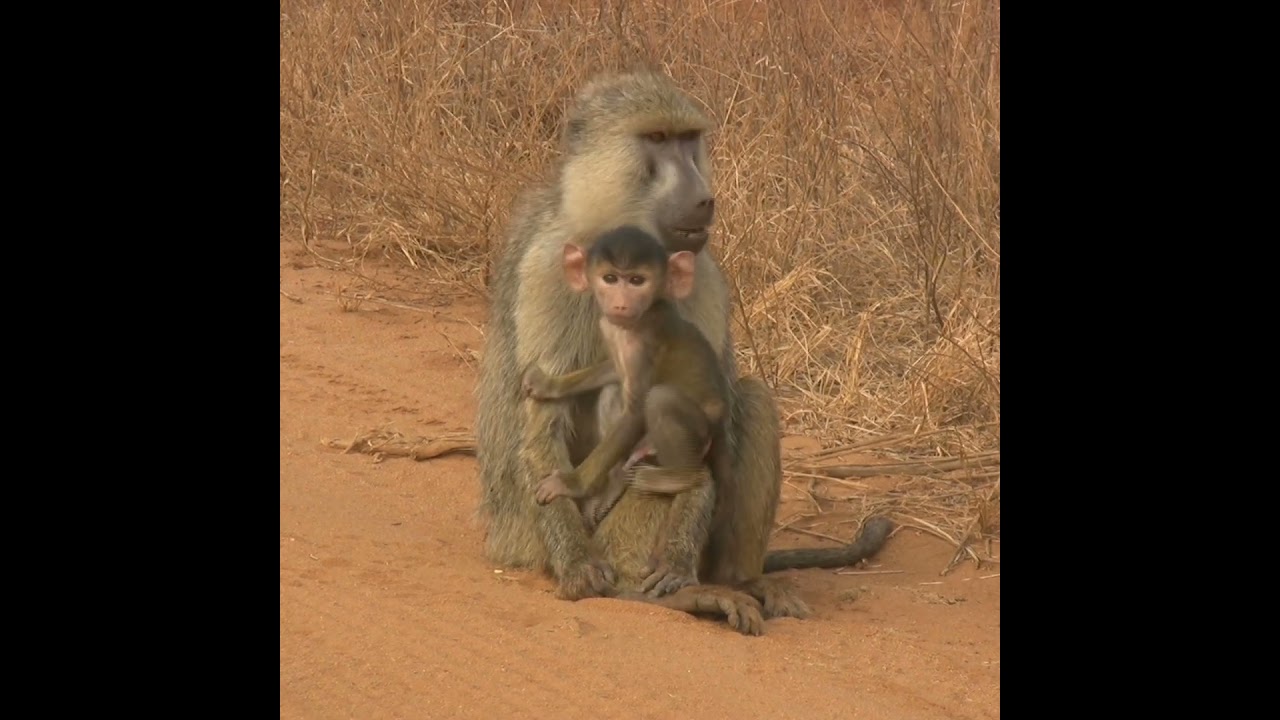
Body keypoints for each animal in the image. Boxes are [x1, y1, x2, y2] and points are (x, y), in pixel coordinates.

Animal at [473, 70, 893, 633]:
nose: (702, 198)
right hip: (532, 538)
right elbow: (547, 425)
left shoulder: (701, 275)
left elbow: (706, 410)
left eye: (689, 139)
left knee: (748, 400)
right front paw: (582, 567)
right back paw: (666, 593)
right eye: (656, 139)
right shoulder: (548, 270)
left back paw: (736, 580)